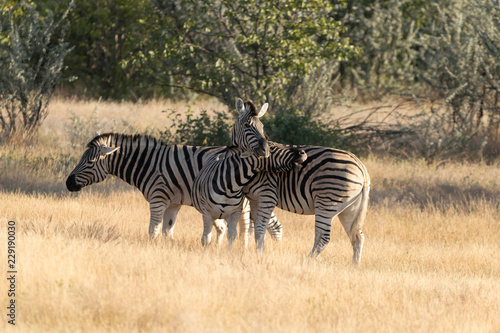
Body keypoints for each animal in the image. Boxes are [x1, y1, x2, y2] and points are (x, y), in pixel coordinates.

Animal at [232, 105, 370, 264]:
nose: (264, 150)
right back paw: (355, 264)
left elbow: (258, 227)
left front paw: (254, 253)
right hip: (349, 209)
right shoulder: (254, 198)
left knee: (323, 236)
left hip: (326, 202)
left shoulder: (266, 194)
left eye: (261, 126)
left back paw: (308, 260)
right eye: (246, 125)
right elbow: (253, 227)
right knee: (357, 236)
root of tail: (362, 168)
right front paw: (247, 252)